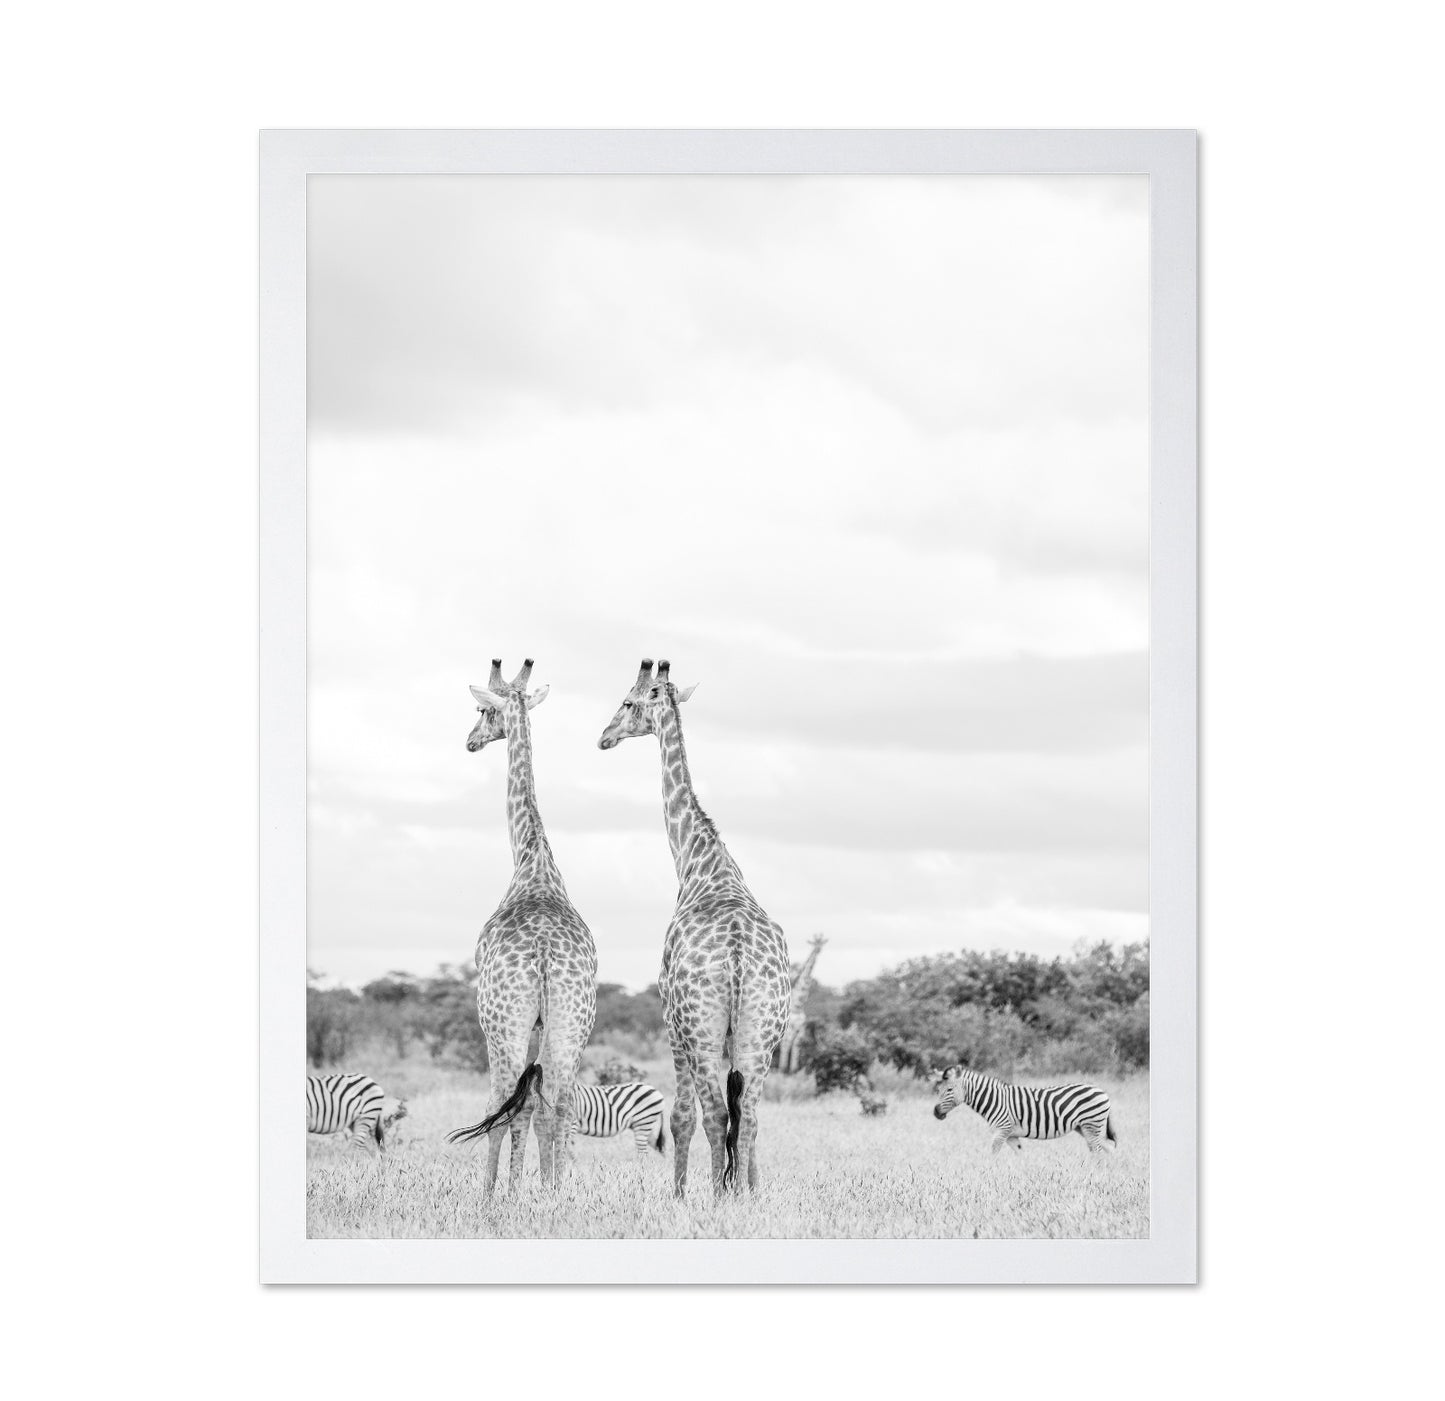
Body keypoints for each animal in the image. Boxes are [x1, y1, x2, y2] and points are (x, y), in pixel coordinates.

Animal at [446, 658, 598, 1196]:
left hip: (502, 1024)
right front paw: (528, 1187)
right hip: (573, 1025)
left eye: (481, 710)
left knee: (500, 1104)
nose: (470, 741)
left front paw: (501, 1192)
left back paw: (495, 1196)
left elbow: (509, 1107)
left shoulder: (504, 1024)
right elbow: (535, 1105)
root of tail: (546, 957)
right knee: (560, 1104)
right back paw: (555, 1193)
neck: (533, 862)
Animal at [598, 658, 791, 1199]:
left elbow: (682, 1116)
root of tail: (738, 956)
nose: (604, 737)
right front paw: (746, 1187)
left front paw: (681, 1193)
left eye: (627, 701)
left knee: (715, 1113)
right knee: (749, 1115)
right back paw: (743, 1194)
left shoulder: (670, 1020)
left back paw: (717, 1196)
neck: (698, 861)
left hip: (701, 1031)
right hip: (763, 1032)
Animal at [779, 933, 827, 1074]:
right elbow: (786, 1046)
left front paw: (793, 1070)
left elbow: (796, 1047)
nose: (818, 950)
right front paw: (782, 1069)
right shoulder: (789, 1029)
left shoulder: (800, 1029)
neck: (798, 1005)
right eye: (814, 943)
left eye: (821, 943)